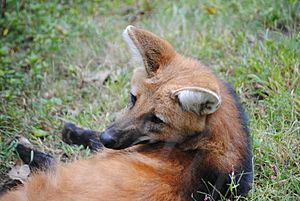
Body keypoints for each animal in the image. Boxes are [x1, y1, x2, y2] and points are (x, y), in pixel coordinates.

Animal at [0, 26, 253, 201]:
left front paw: (23, 147)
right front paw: (73, 131)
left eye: (156, 119)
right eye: (133, 98)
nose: (107, 137)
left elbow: (50, 159)